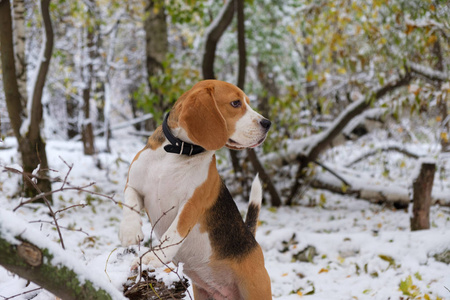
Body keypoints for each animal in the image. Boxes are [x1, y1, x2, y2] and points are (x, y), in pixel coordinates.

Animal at [118, 80, 270, 300]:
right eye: (235, 103)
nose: (267, 123)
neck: (177, 152)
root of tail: (251, 239)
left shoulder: (191, 204)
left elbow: (173, 233)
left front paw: (153, 258)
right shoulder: (134, 183)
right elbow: (129, 203)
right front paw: (130, 232)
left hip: (256, 289)